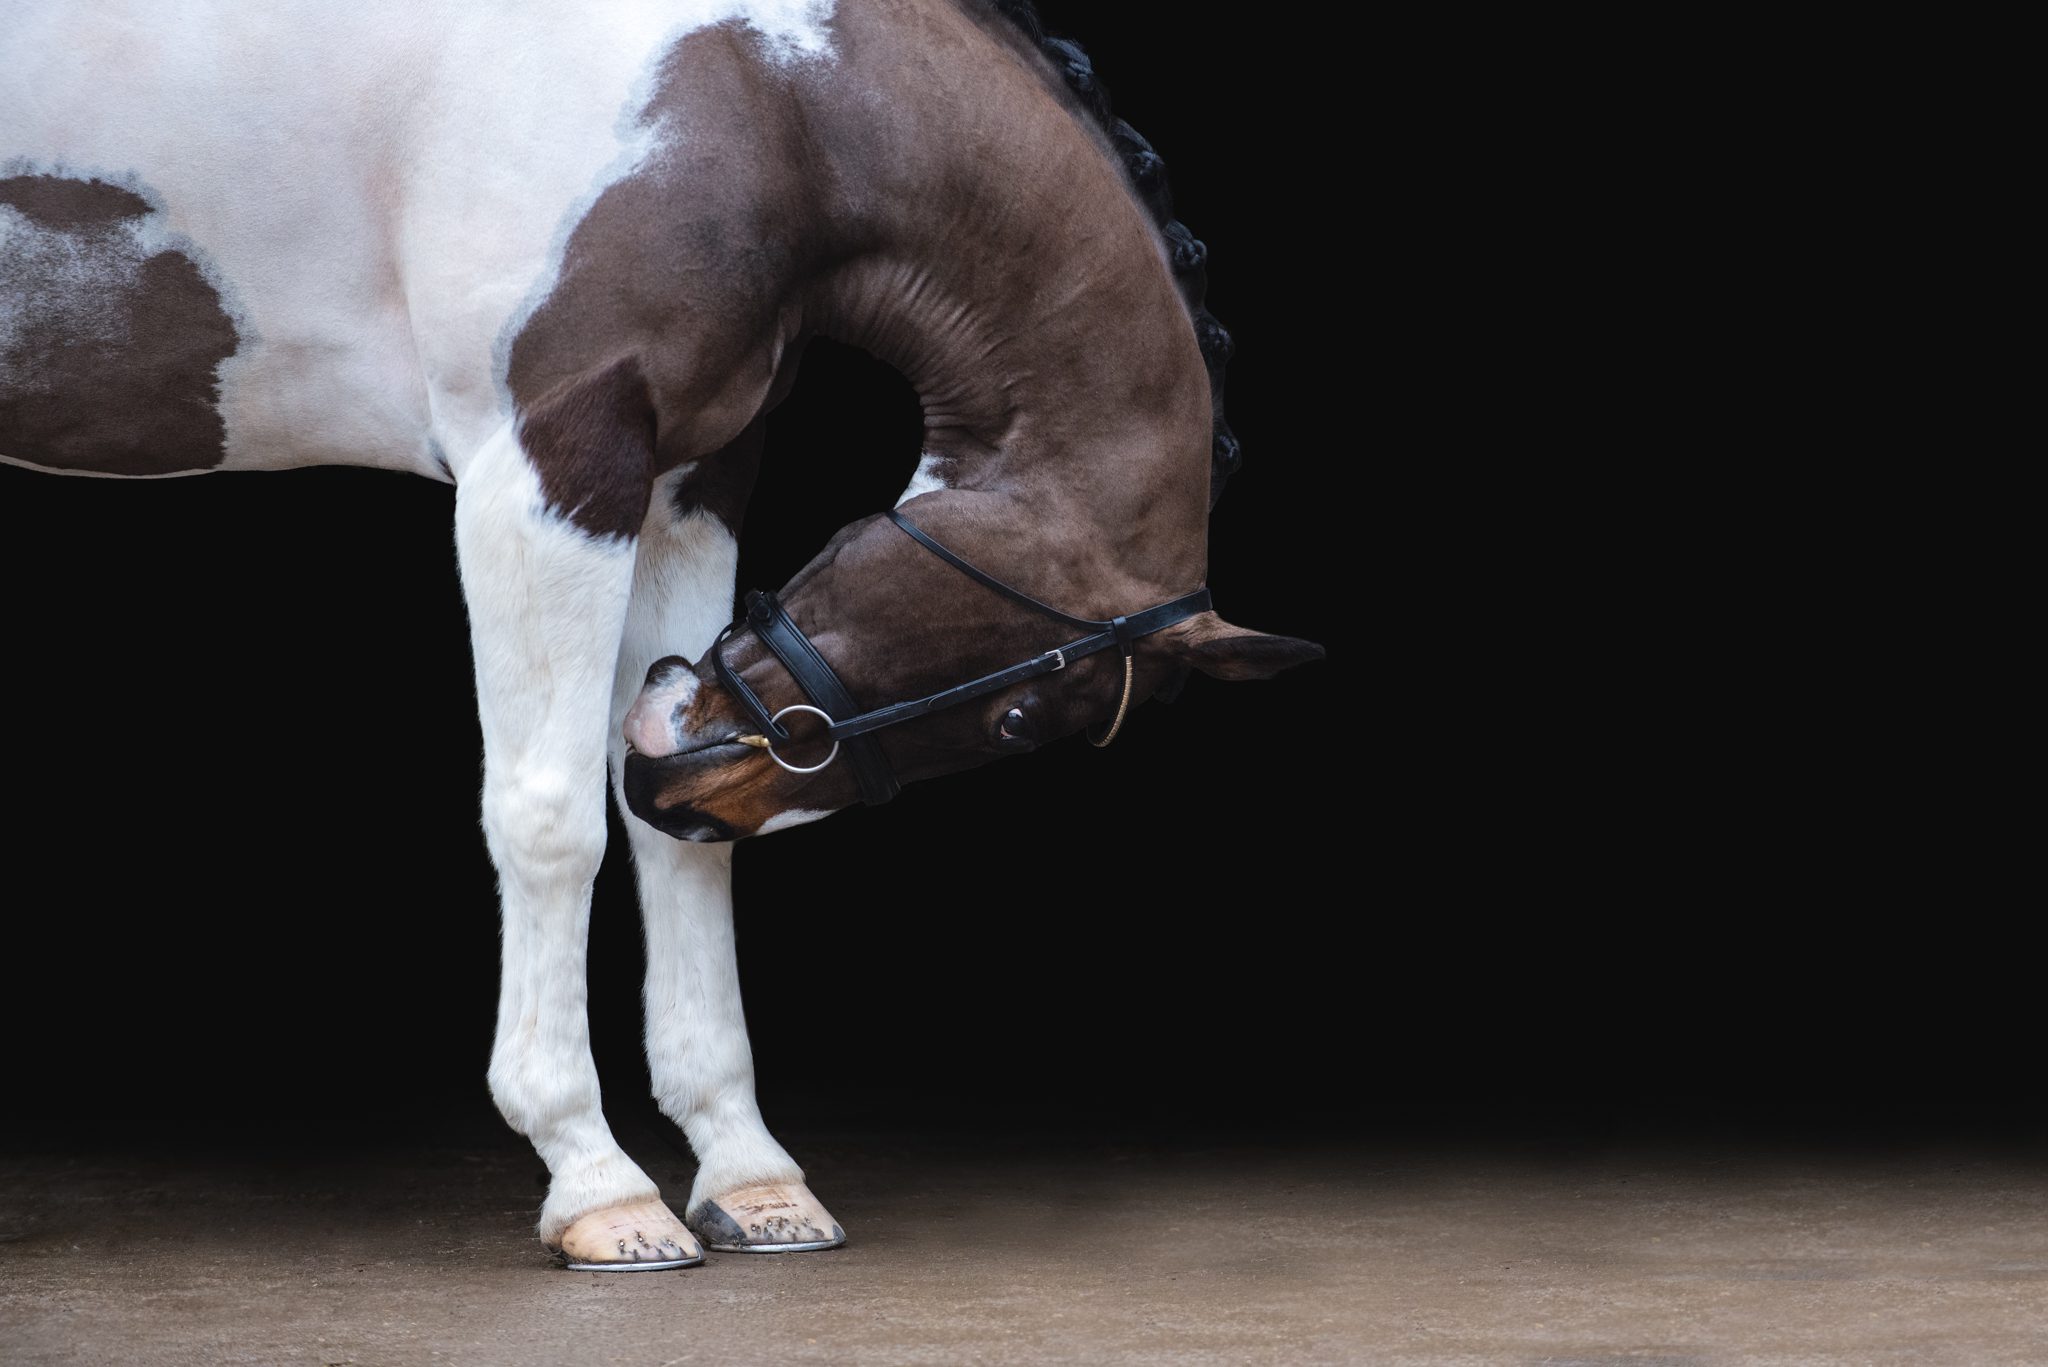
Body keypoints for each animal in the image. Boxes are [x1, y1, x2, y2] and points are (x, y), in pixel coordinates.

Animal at [1, 0, 1322, 1270]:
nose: (689, 777)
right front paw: (596, 1178)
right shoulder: (546, 462)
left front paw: (747, 1170)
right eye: (1014, 714)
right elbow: (552, 823)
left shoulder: (691, 477)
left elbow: (667, 853)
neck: (762, 94)